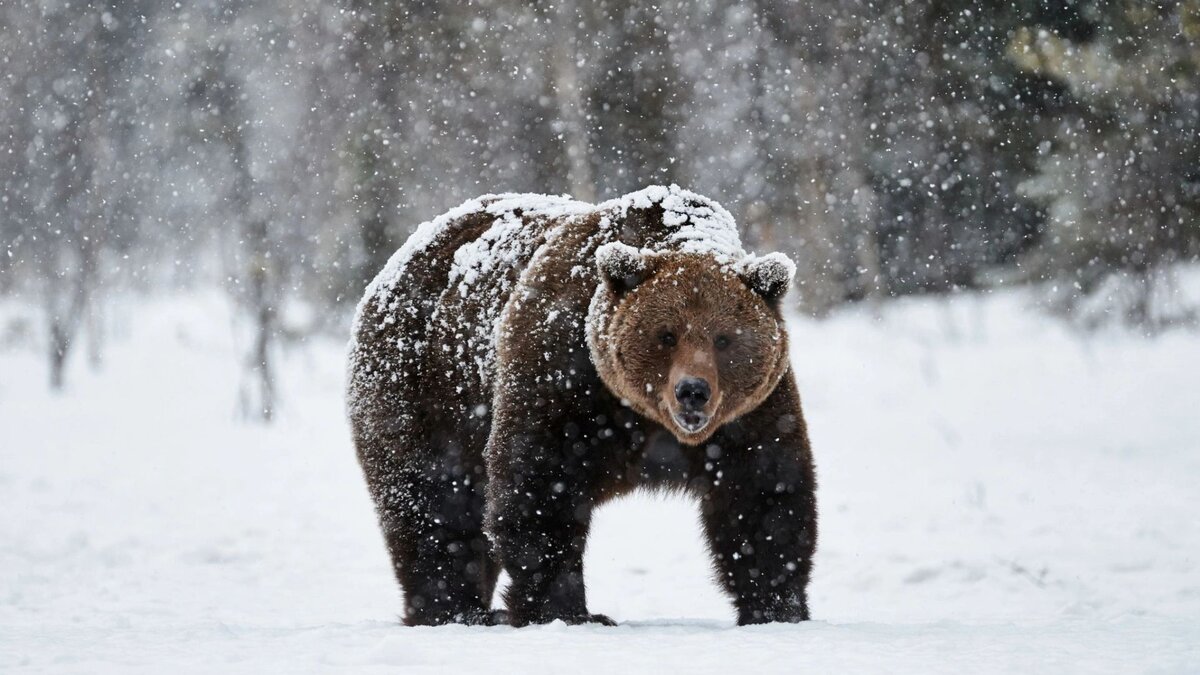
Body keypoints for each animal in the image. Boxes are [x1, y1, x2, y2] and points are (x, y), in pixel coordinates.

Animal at [348, 183, 816, 624]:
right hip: (424, 389)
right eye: (666, 335)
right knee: (434, 504)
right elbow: (539, 489)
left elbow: (764, 496)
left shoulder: (751, 414)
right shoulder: (561, 377)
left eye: (724, 339)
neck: (644, 418)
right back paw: (454, 610)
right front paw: (565, 610)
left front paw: (777, 608)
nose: (692, 390)